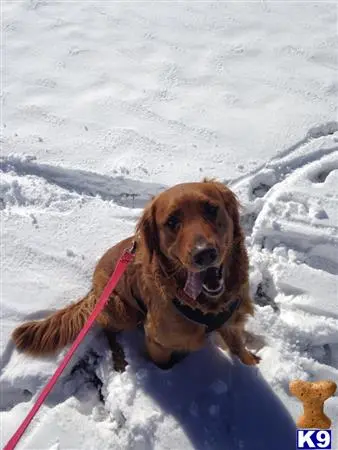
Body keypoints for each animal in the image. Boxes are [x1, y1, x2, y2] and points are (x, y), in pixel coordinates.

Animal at [10, 179, 258, 370]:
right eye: (172, 222)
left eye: (211, 209)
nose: (204, 254)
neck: (206, 306)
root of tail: (93, 289)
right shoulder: (157, 342)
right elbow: (163, 366)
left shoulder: (231, 322)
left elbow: (239, 348)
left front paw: (250, 364)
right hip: (122, 309)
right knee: (107, 327)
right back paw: (119, 358)